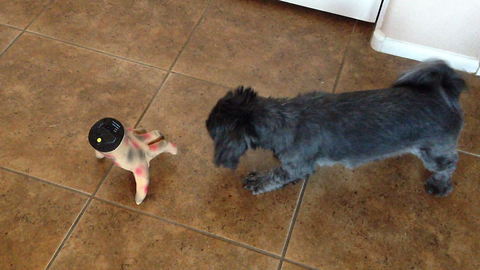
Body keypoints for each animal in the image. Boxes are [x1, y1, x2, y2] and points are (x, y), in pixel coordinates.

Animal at [205, 60, 464, 196]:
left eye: (213, 129)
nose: (205, 122)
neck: (284, 119)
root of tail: (443, 95)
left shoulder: (297, 164)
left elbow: (276, 176)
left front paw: (259, 182)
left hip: (433, 151)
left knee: (450, 163)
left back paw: (440, 184)